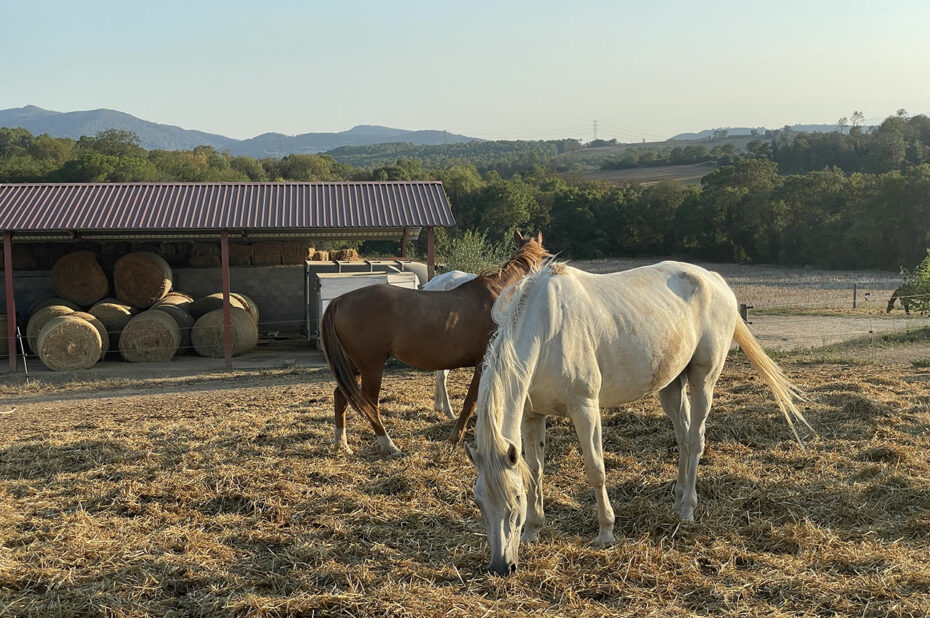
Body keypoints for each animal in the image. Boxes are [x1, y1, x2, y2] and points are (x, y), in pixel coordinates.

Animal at [460, 258, 808, 572]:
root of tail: (714, 279)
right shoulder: (533, 415)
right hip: (671, 385)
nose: (500, 566)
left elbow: (596, 469)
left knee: (696, 440)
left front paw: (606, 531)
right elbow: (535, 470)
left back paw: (687, 509)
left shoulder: (585, 408)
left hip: (703, 379)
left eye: (515, 500)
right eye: (478, 502)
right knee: (683, 438)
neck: (546, 330)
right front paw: (533, 531)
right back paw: (677, 497)